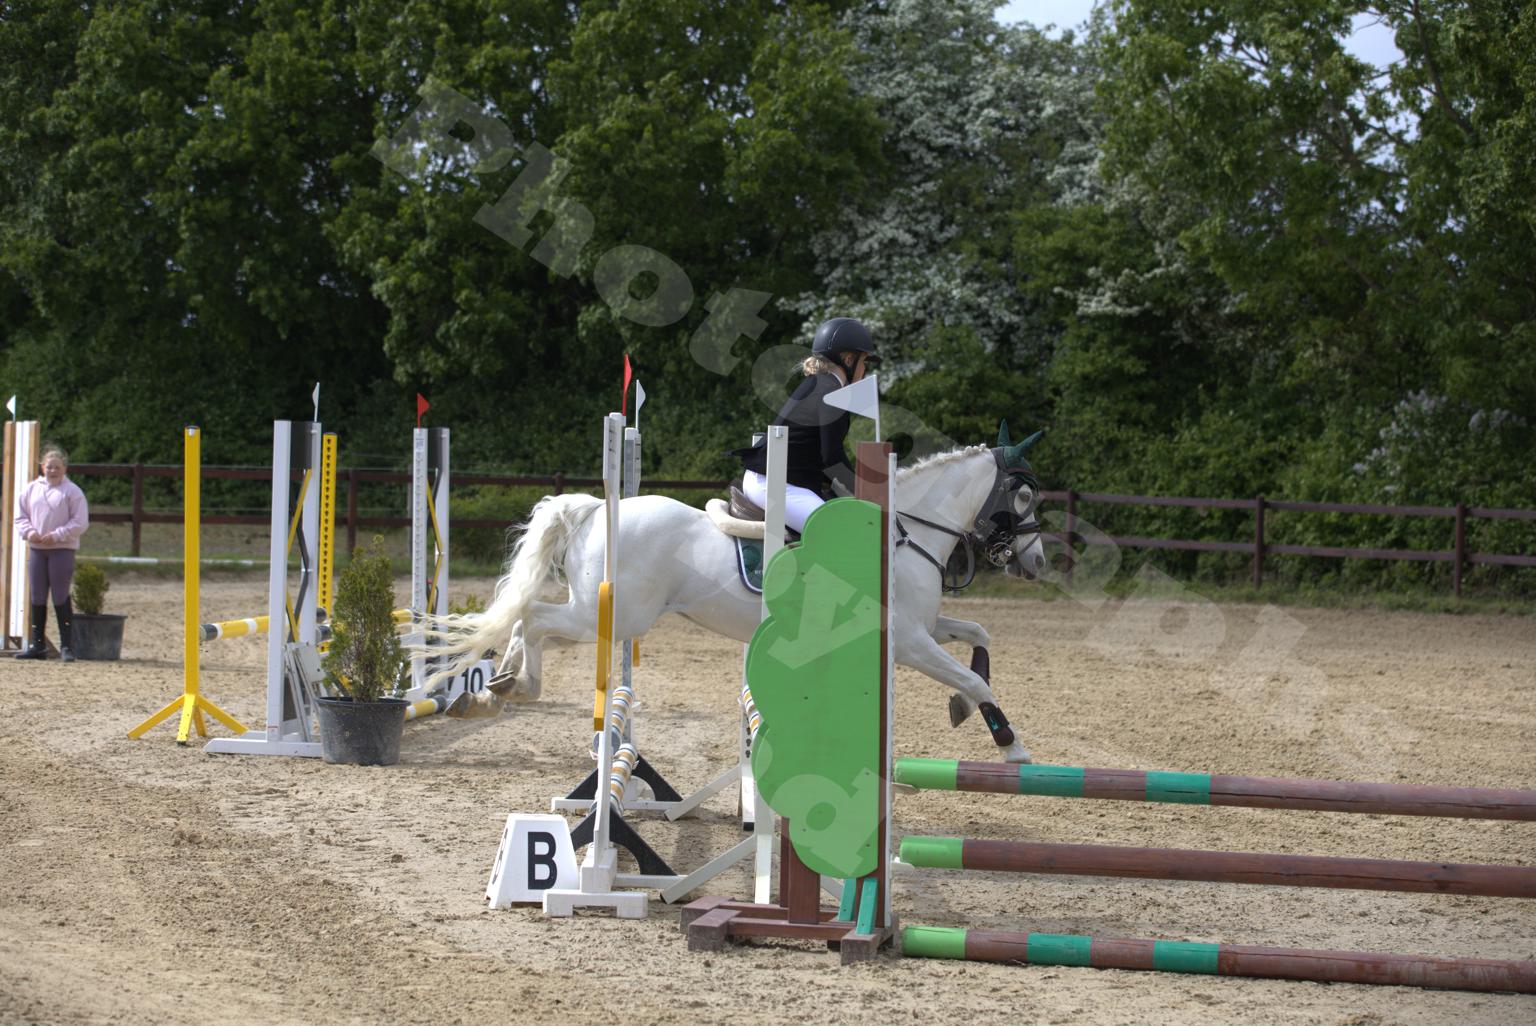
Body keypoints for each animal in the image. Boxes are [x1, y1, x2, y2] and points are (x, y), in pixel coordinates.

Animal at [427, 424, 1048, 763]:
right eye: (1022, 497)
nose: (1038, 564)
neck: (905, 533)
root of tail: (595, 508)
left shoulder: (925, 628)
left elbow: (979, 637)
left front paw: (963, 706)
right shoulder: (907, 642)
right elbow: (973, 677)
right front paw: (1011, 745)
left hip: (603, 616)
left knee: (524, 619)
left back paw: (495, 689)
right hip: (615, 617)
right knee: (532, 618)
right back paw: (515, 687)